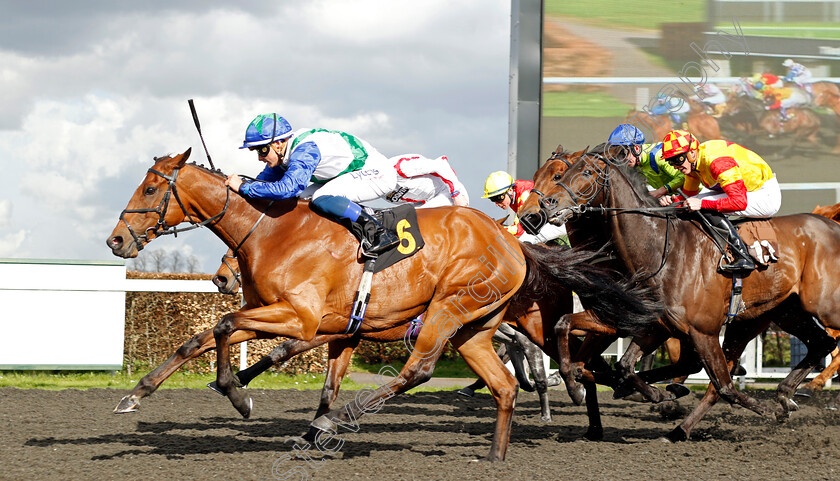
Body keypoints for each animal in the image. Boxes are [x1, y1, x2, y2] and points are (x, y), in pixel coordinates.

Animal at [105, 148, 660, 456]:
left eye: (150, 188)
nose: (116, 241)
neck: (274, 230)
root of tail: (513, 241)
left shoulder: (301, 320)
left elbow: (223, 327)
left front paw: (238, 394)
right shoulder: (318, 326)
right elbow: (205, 336)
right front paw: (139, 393)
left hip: (453, 310)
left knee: (425, 370)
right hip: (477, 326)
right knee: (514, 378)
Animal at [520, 144, 840, 440]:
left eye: (581, 172)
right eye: (539, 175)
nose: (537, 212)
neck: (664, 250)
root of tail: (830, 224)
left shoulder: (698, 330)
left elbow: (724, 386)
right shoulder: (654, 323)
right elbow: (615, 361)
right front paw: (645, 393)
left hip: (820, 307)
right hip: (781, 312)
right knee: (820, 342)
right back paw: (780, 395)